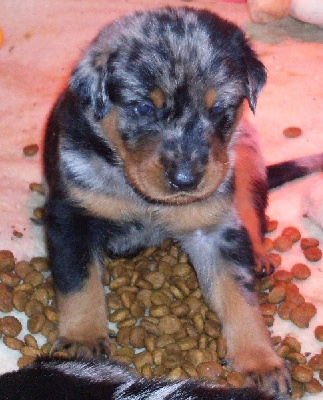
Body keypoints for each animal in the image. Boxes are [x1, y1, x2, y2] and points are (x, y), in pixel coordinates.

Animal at [44, 5, 323, 396]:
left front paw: (260, 361)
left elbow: (240, 296)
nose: (186, 181)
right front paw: (84, 341)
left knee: (251, 215)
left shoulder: (213, 228)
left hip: (246, 160)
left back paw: (260, 255)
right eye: (143, 108)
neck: (142, 197)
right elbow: (79, 283)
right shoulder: (71, 216)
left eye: (219, 108)